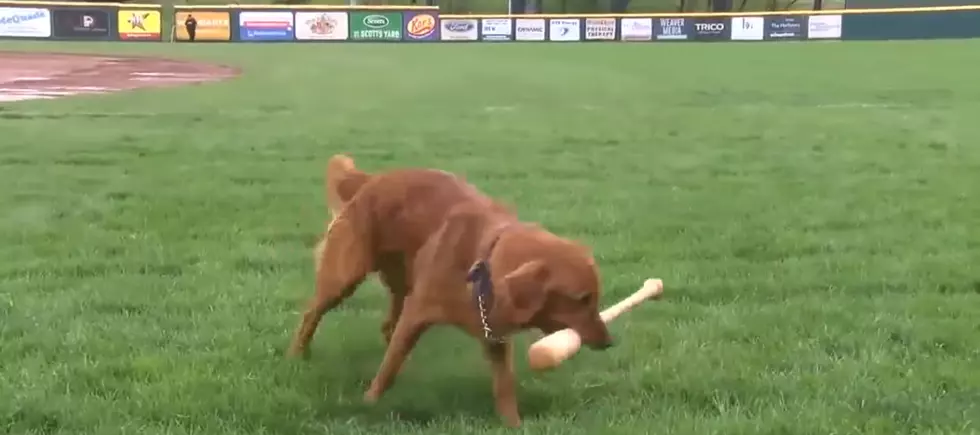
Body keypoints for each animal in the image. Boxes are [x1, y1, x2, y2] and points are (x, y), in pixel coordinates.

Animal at [288, 155, 616, 428]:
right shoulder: (418, 312)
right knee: (312, 312)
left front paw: (513, 425)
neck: (480, 264)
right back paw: (296, 354)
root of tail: (370, 179)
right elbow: (389, 369)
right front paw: (370, 402)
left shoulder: (494, 336)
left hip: (402, 282)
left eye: (595, 297)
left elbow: (504, 387)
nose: (609, 342)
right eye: (581, 299)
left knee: (387, 326)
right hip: (345, 277)